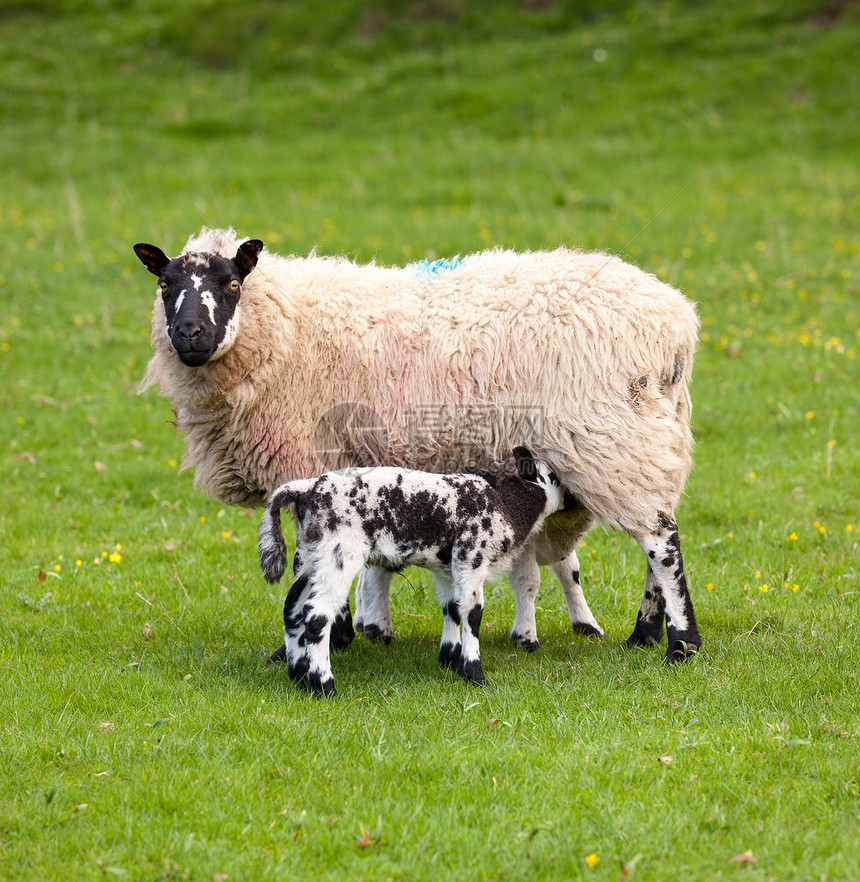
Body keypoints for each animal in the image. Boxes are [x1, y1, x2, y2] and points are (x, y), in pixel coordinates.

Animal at [133, 227, 700, 660]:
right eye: (164, 285)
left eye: (232, 283)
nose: (188, 333)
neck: (284, 326)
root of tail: (675, 321)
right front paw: (357, 630)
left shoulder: (307, 458)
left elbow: (313, 563)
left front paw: (328, 637)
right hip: (646, 437)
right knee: (657, 528)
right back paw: (646, 632)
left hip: (611, 438)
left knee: (660, 540)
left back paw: (681, 642)